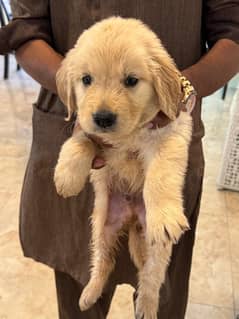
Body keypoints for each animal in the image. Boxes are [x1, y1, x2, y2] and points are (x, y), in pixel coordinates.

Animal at [53, 16, 192, 319]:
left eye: (131, 81)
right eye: (86, 79)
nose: (103, 118)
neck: (128, 135)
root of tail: (132, 217)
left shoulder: (171, 131)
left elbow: (160, 175)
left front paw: (165, 215)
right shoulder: (87, 127)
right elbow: (79, 140)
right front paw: (67, 176)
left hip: (157, 246)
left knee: (151, 276)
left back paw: (147, 306)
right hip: (101, 224)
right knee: (104, 262)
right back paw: (90, 293)